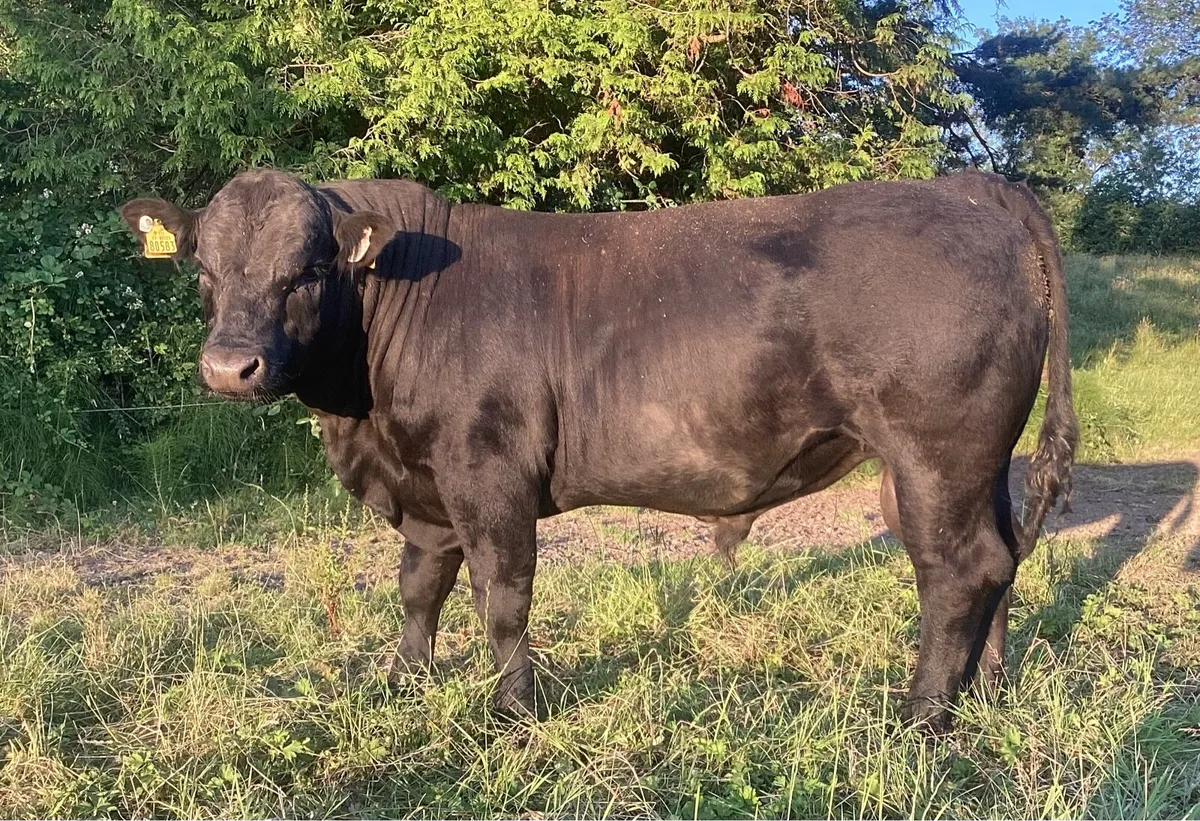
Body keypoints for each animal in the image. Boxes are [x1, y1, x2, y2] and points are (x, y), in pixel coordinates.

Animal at [120, 168, 1077, 732]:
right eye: (203, 268)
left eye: (310, 269)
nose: (229, 366)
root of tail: (965, 189)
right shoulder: (427, 487)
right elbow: (419, 588)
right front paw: (402, 682)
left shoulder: (488, 471)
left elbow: (502, 598)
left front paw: (511, 710)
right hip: (957, 463)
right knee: (996, 559)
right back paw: (984, 690)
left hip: (934, 451)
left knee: (955, 569)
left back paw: (920, 718)